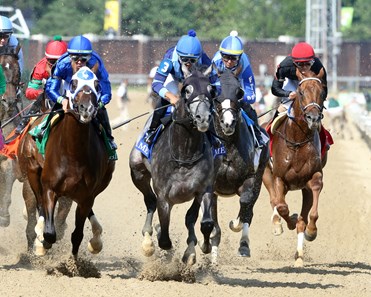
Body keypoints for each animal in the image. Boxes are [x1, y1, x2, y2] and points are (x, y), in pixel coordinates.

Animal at [16, 66, 115, 256]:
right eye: (74, 83)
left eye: (96, 84)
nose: (86, 108)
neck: (73, 153)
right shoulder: (50, 188)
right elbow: (49, 232)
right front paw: (42, 243)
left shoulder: (86, 195)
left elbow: (76, 234)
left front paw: (74, 261)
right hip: (32, 172)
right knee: (38, 203)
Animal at [130, 66, 219, 264]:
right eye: (187, 90)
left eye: (211, 90)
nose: (203, 118)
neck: (184, 153)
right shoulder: (164, 195)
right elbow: (164, 237)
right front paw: (160, 240)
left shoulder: (203, 189)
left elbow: (201, 221)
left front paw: (198, 249)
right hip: (138, 172)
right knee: (150, 201)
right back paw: (148, 240)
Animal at [264, 67, 328, 266]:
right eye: (301, 92)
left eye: (322, 92)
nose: (313, 118)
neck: (297, 140)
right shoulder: (279, 178)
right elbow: (282, 206)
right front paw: (288, 220)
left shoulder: (313, 177)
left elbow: (310, 214)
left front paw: (311, 231)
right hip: (266, 175)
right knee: (274, 201)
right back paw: (278, 224)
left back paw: (299, 255)